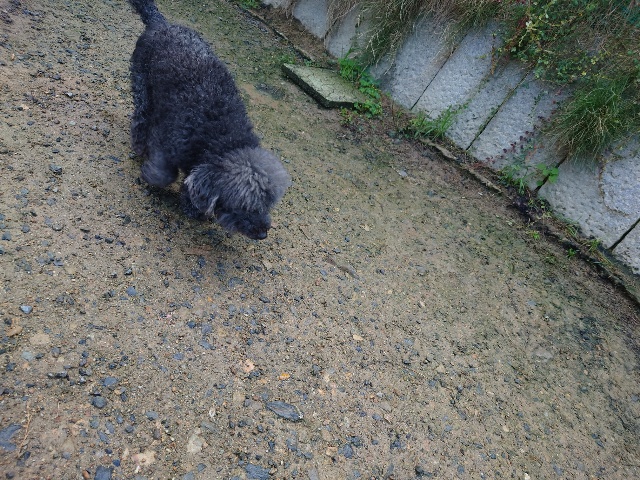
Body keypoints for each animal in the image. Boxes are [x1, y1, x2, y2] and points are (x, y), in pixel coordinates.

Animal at [127, 0, 290, 240]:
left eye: (267, 204)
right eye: (244, 206)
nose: (262, 233)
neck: (223, 139)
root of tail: (162, 23)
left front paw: (192, 207)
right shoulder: (168, 138)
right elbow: (165, 174)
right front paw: (151, 175)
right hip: (142, 84)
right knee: (141, 117)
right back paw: (139, 145)